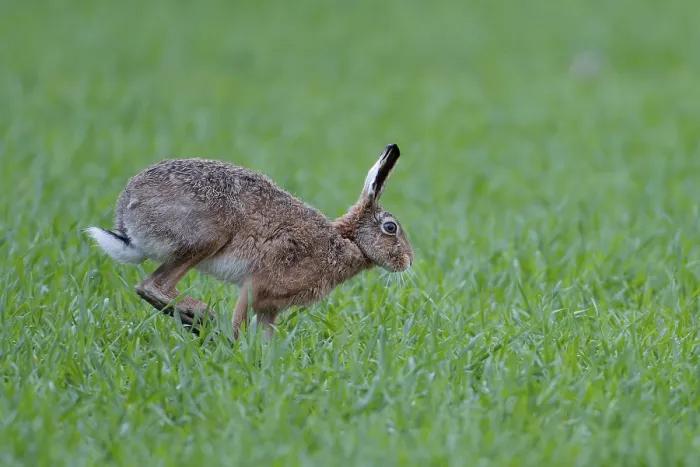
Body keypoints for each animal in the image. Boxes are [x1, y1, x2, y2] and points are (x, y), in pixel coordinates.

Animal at [85, 143, 413, 339]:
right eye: (390, 228)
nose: (409, 261)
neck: (345, 242)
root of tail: (127, 213)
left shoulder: (271, 306)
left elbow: (265, 334)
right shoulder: (257, 282)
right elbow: (240, 317)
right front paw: (234, 346)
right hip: (206, 238)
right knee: (153, 285)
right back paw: (204, 316)